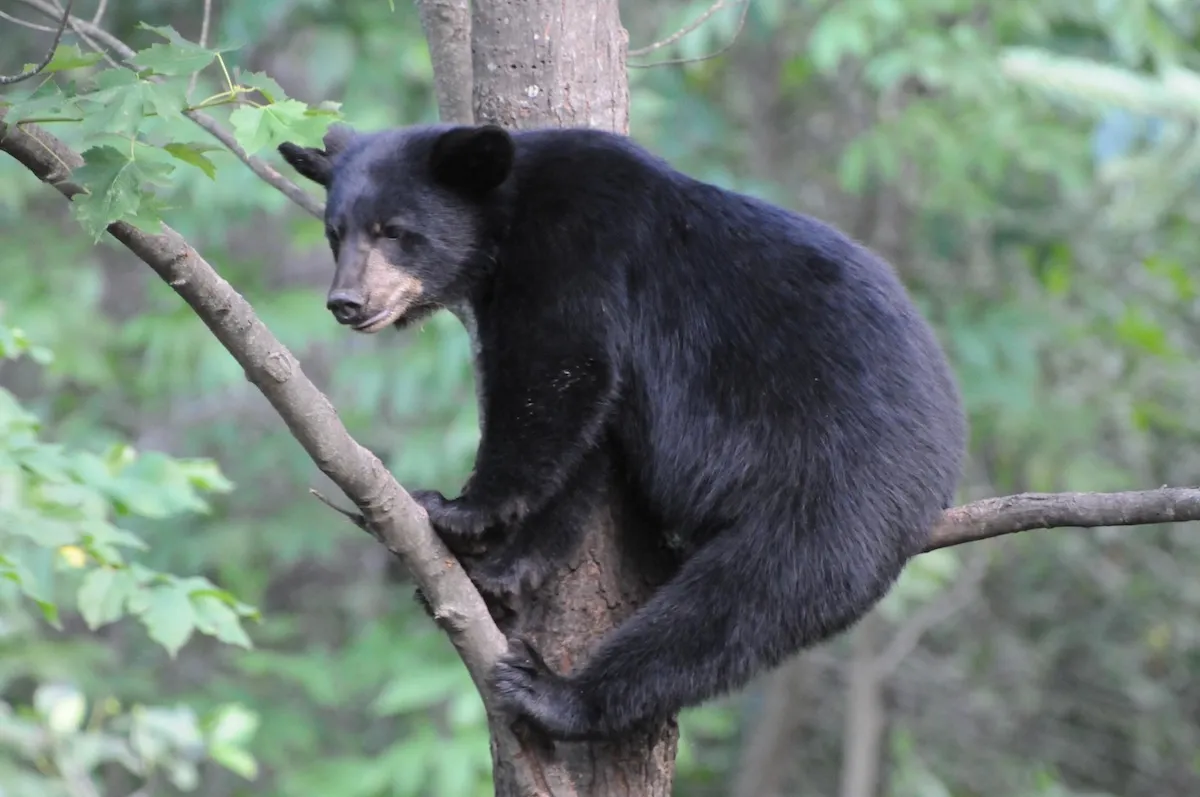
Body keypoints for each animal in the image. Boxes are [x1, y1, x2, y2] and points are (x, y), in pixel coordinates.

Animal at [278, 122, 967, 742]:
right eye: (336, 233)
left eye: (394, 231)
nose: (346, 303)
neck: (509, 211)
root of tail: (948, 463)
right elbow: (587, 441)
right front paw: (501, 570)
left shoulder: (578, 246)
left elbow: (558, 369)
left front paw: (460, 510)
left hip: (838, 473)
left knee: (754, 594)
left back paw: (559, 695)